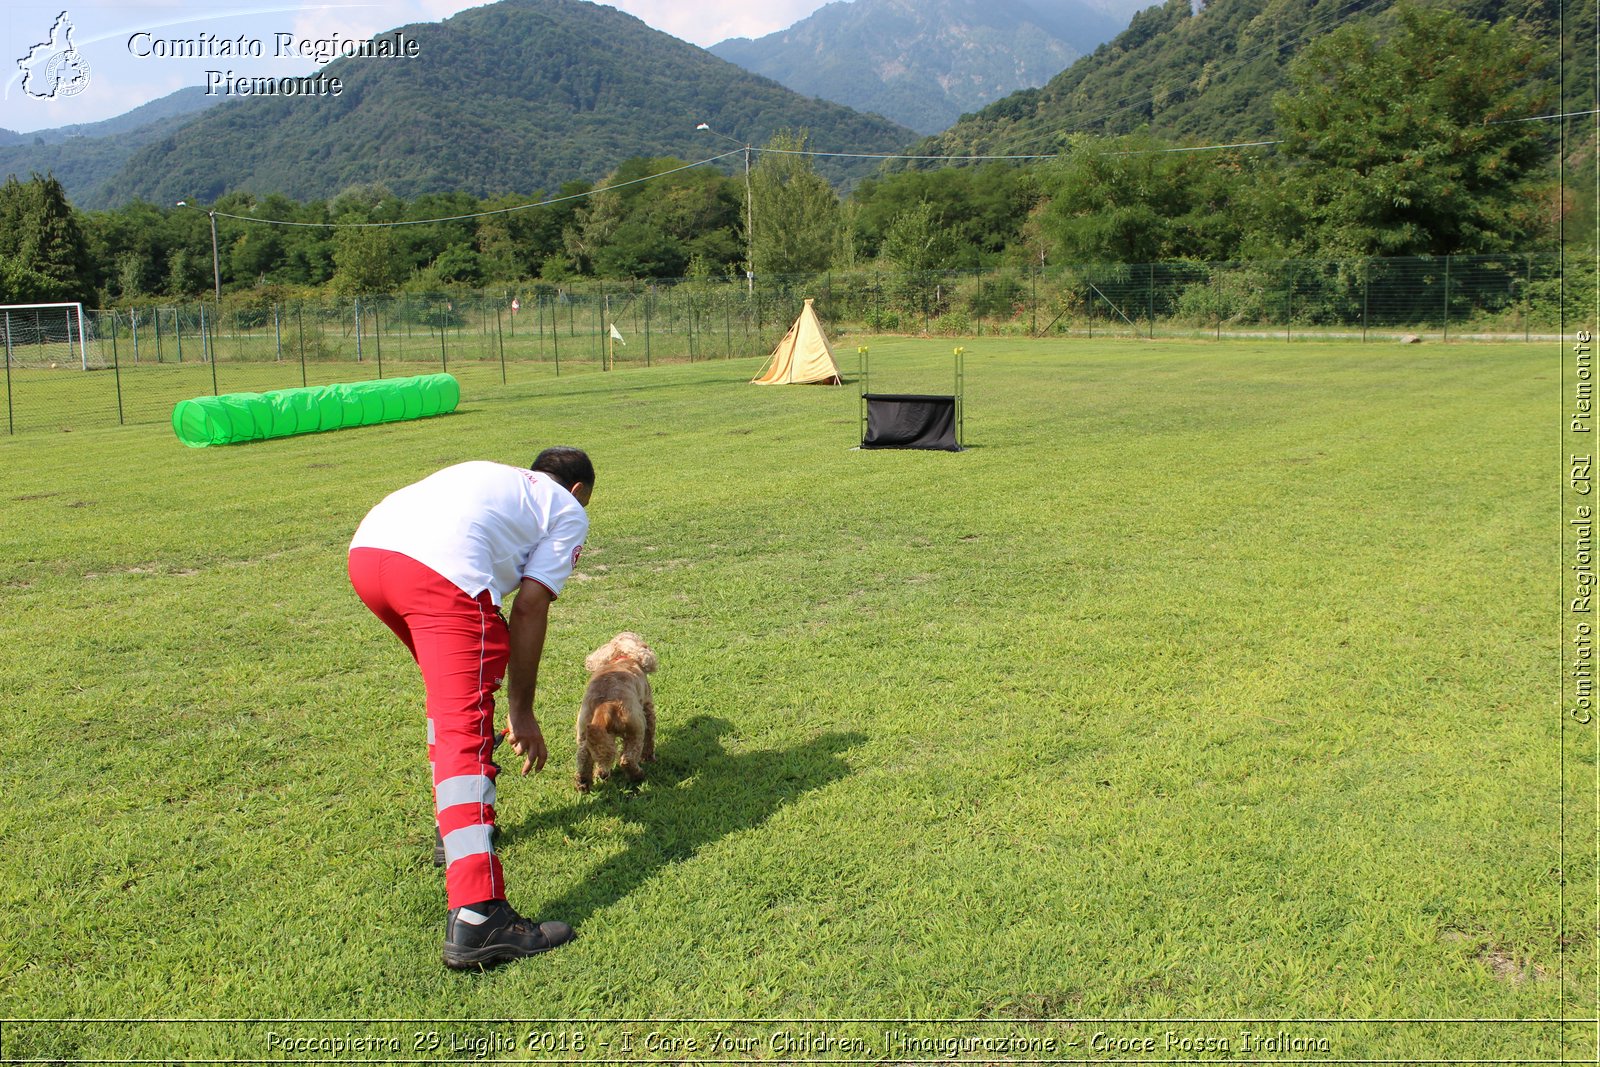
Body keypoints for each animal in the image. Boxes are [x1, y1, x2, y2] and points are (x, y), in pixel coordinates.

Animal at [576, 633, 656, 793]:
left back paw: (586, 782)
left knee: (584, 759)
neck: (621, 657)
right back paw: (638, 775)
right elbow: (650, 735)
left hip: (585, 732)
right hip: (635, 728)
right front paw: (649, 757)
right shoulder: (647, 707)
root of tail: (605, 706)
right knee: (627, 759)